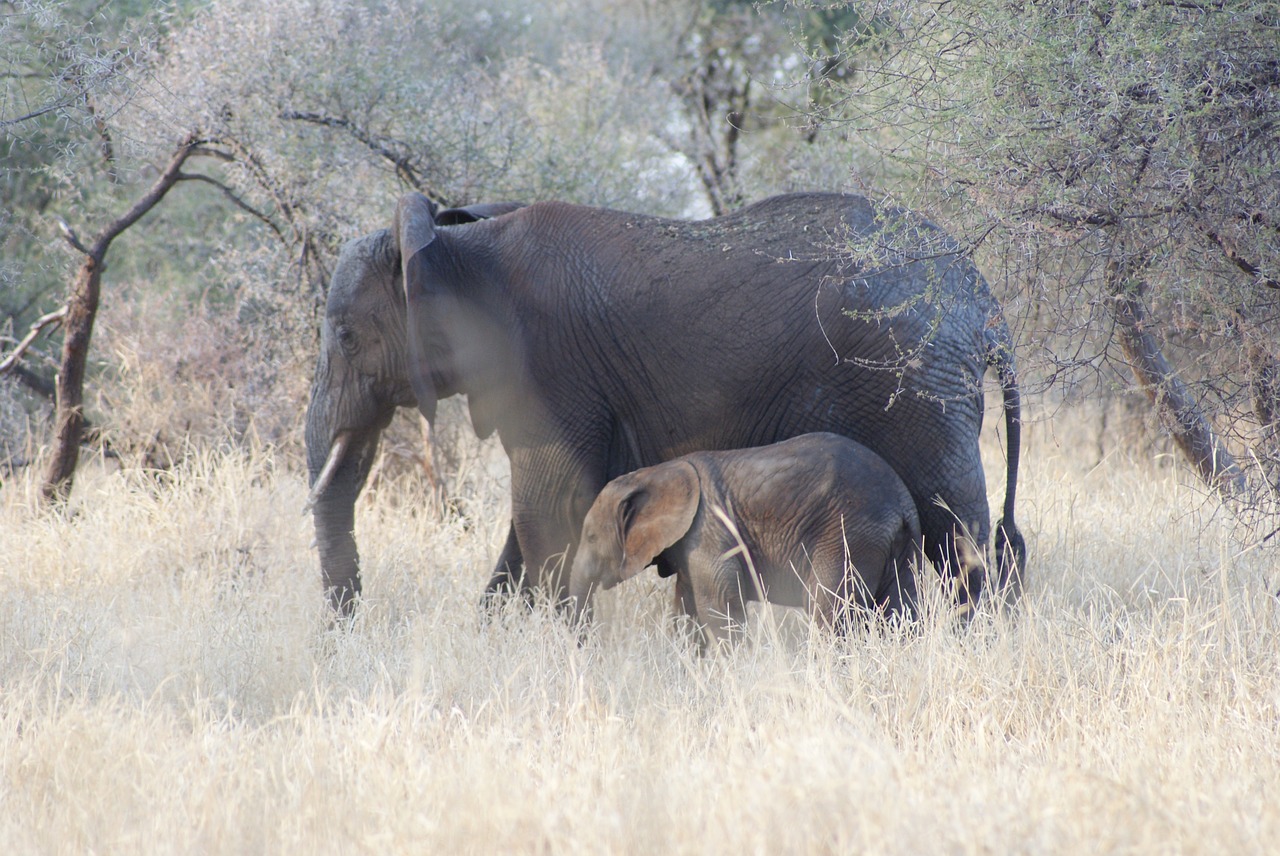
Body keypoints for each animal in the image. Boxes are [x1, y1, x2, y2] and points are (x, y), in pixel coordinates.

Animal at [304, 190, 1024, 614]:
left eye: (345, 335)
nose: (348, 623)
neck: (456, 246)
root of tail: (985, 302)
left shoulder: (547, 373)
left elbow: (546, 512)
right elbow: (534, 522)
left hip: (923, 384)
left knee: (957, 530)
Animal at [570, 429, 921, 644]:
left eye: (590, 537)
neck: (656, 473)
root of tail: (900, 505)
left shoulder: (708, 532)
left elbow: (718, 609)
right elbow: (687, 609)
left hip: (847, 537)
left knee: (829, 612)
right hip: (898, 546)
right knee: (901, 612)